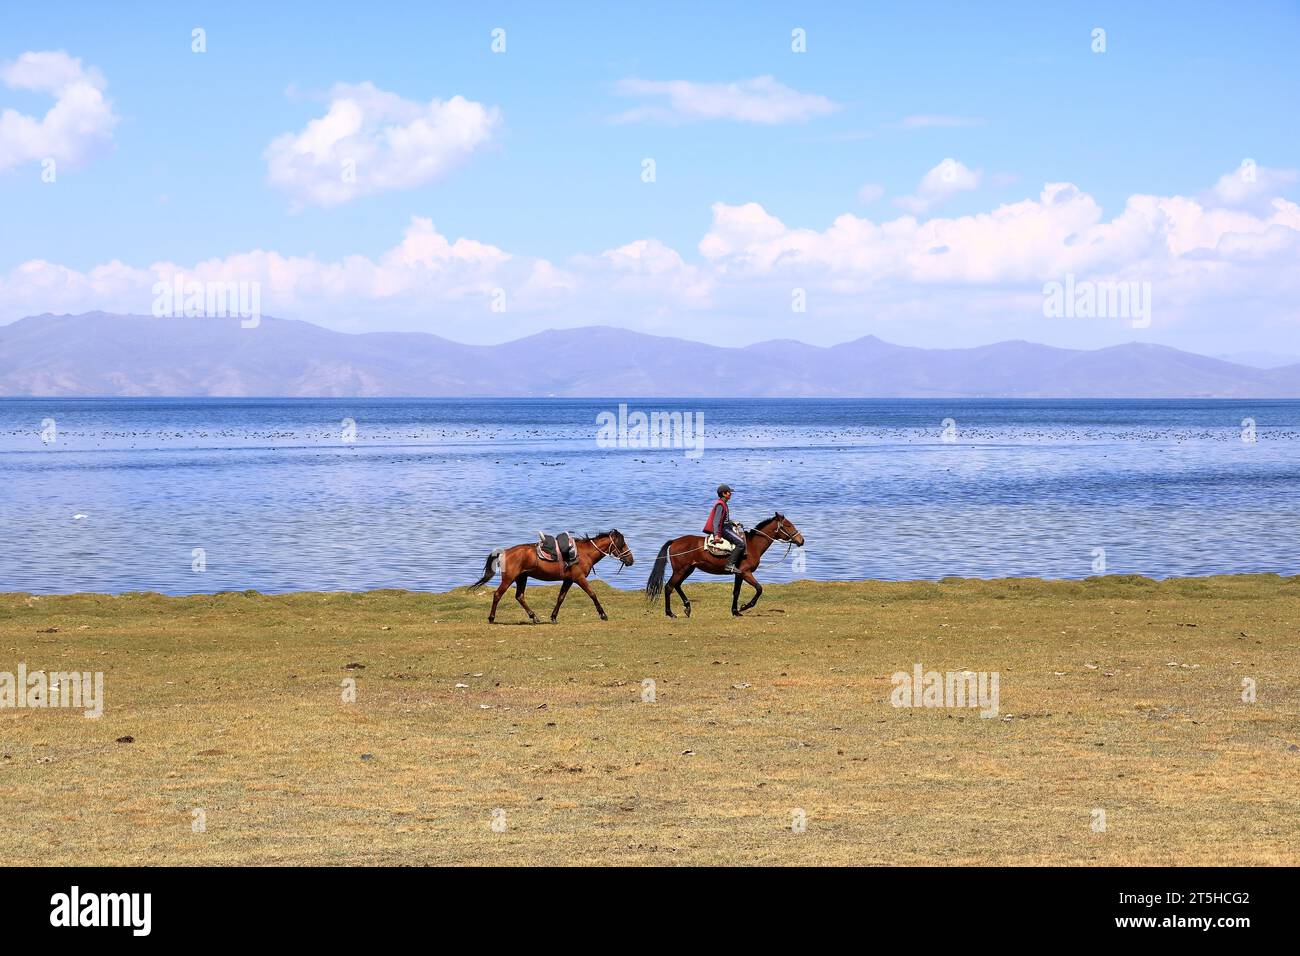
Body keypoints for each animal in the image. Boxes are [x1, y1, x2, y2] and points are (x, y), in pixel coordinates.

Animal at [467, 528, 634, 624]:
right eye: (621, 544)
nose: (631, 560)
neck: (585, 553)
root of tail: (505, 551)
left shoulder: (569, 580)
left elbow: (561, 597)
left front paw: (553, 616)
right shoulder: (579, 578)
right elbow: (592, 594)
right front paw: (603, 614)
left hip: (522, 577)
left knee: (520, 596)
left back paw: (534, 617)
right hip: (509, 578)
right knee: (498, 595)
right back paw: (491, 618)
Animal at [642, 515, 800, 621]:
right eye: (788, 525)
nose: (801, 540)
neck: (752, 545)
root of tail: (675, 541)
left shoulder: (738, 574)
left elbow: (736, 592)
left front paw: (736, 611)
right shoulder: (746, 573)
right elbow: (759, 589)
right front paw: (744, 606)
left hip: (688, 569)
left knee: (677, 585)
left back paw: (687, 607)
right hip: (681, 570)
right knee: (669, 587)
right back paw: (670, 613)